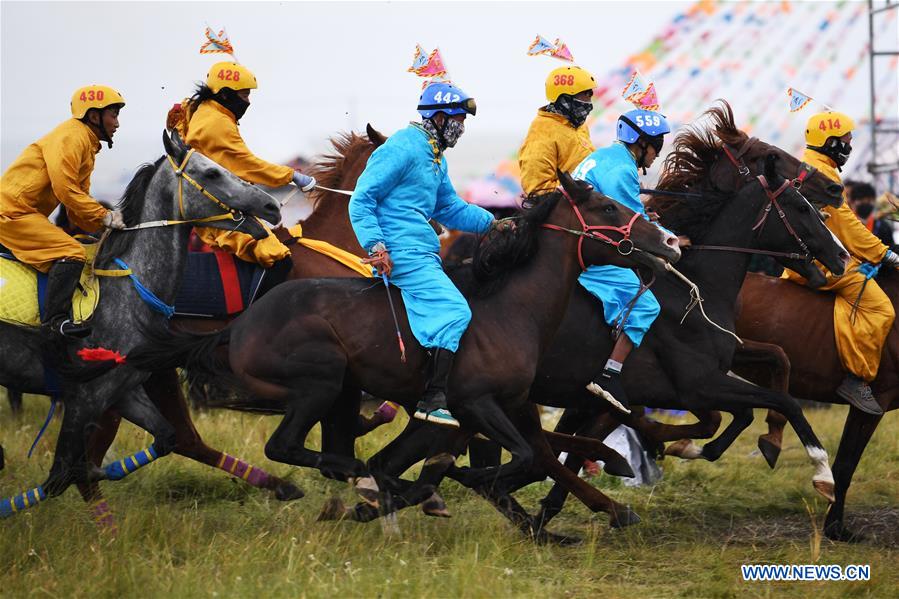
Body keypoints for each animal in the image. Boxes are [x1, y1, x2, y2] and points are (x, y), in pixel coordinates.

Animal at [0, 132, 282, 520]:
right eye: (211, 172)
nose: (272, 206)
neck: (129, 289)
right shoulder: (85, 397)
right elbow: (60, 475)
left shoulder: (124, 390)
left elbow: (166, 439)